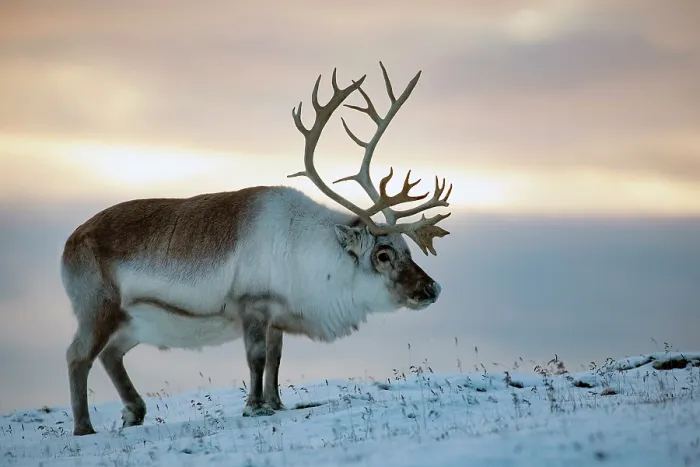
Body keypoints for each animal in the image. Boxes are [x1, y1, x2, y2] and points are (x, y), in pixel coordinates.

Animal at [60, 62, 452, 436]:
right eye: (383, 255)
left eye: (408, 250)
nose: (432, 288)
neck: (306, 252)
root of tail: (69, 242)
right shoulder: (253, 304)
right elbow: (257, 357)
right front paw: (254, 406)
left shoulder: (277, 315)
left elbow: (276, 360)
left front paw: (275, 403)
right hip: (97, 307)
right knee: (78, 355)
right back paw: (84, 427)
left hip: (134, 322)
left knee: (110, 354)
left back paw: (134, 412)